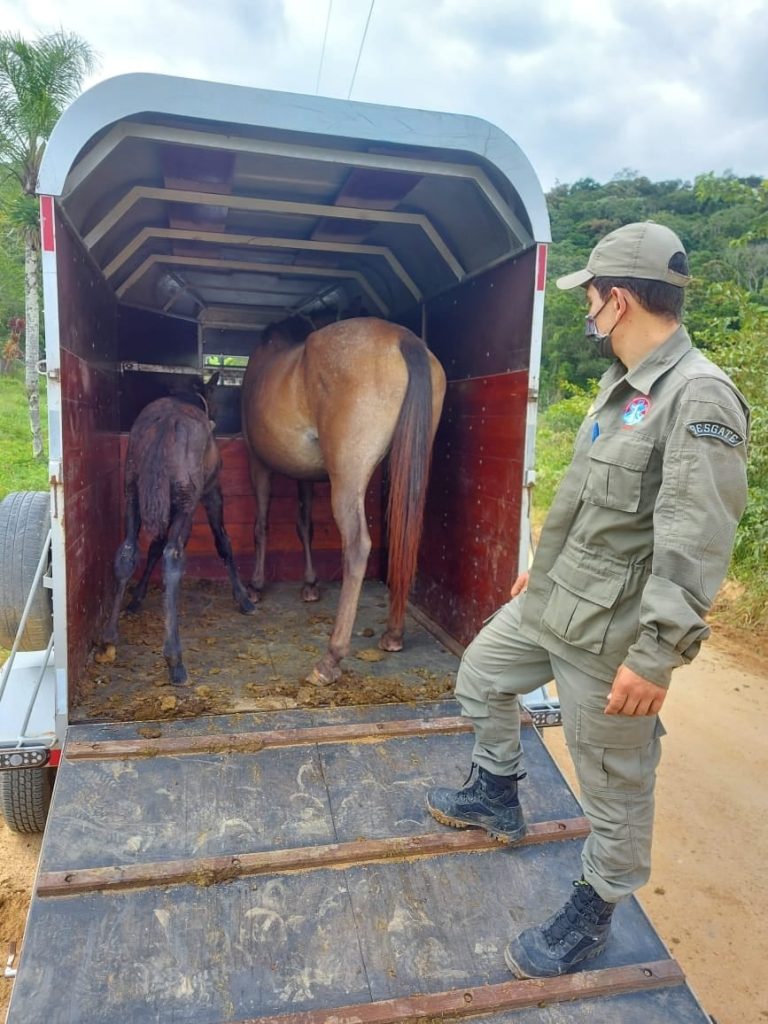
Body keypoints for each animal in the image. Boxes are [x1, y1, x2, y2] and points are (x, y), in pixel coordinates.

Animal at [99, 372, 253, 684]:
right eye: (215, 394)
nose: (217, 416)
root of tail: (165, 424)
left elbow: (153, 547)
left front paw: (136, 599)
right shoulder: (210, 492)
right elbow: (223, 542)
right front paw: (243, 598)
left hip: (133, 494)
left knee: (128, 552)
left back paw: (109, 638)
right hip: (185, 501)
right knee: (173, 556)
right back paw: (175, 659)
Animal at [240, 313, 444, 679]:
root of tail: (403, 337)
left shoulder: (257, 463)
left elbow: (260, 525)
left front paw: (256, 585)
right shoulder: (304, 474)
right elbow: (303, 524)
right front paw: (310, 584)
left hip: (347, 476)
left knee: (357, 545)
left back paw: (330, 658)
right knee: (405, 537)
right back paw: (393, 635)